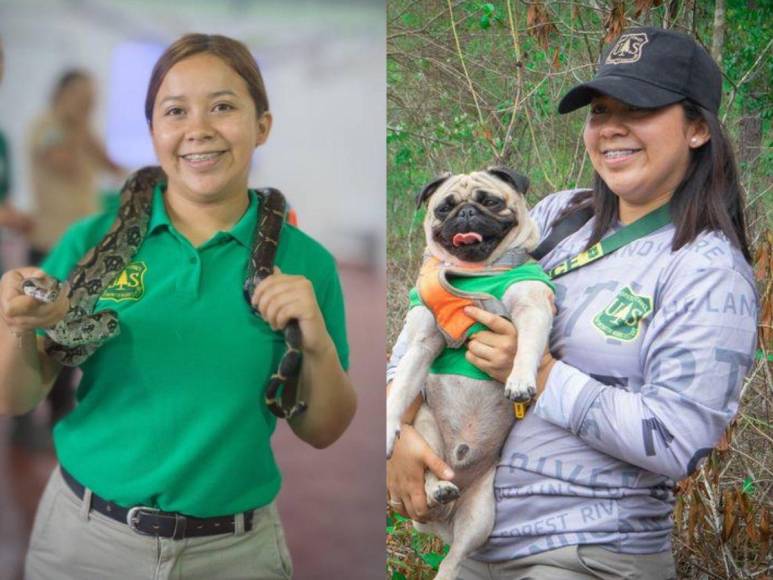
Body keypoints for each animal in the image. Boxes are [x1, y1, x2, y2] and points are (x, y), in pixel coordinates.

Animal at [390, 165, 552, 576]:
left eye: (490, 201)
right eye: (444, 208)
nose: (465, 213)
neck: (478, 273)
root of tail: (442, 519)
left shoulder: (531, 307)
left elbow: (526, 346)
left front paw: (519, 380)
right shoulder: (422, 341)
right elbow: (397, 394)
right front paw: (385, 429)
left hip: (481, 516)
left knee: (455, 557)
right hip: (427, 431)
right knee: (431, 472)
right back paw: (438, 488)